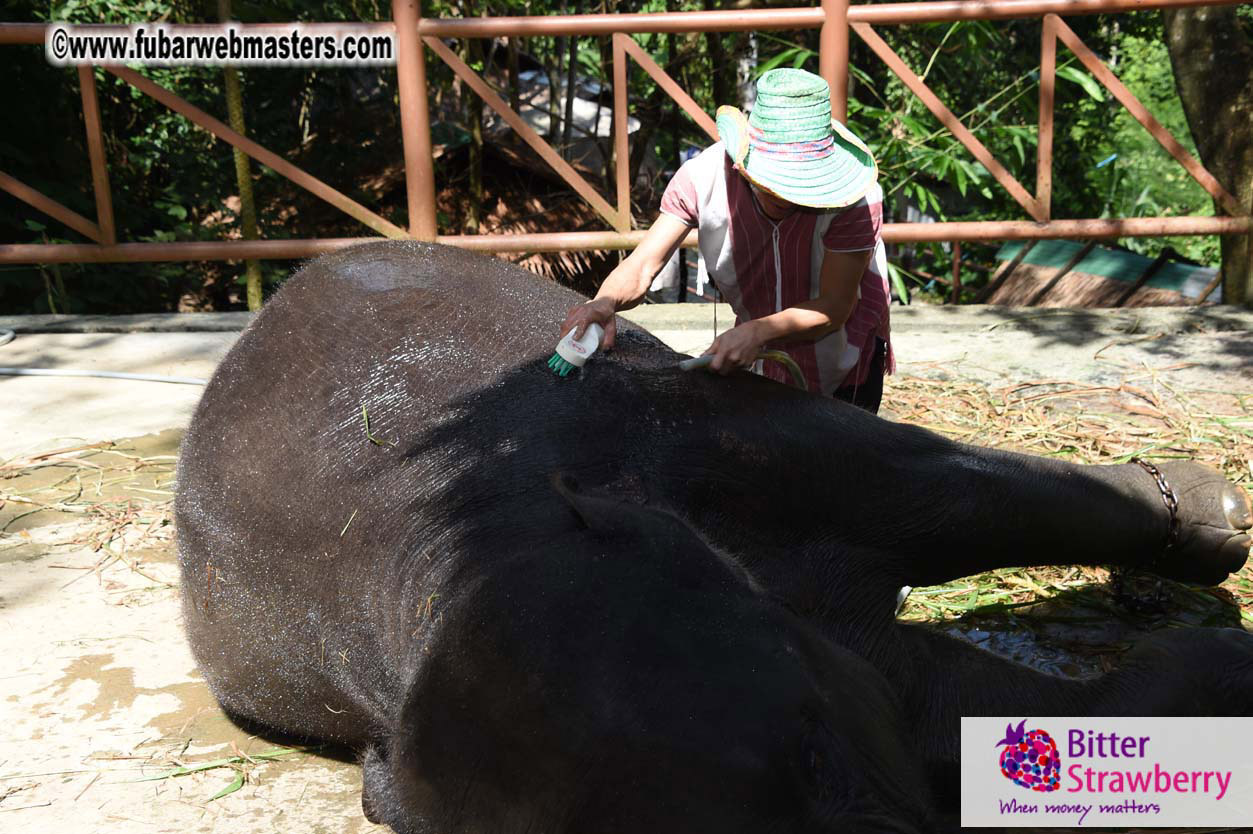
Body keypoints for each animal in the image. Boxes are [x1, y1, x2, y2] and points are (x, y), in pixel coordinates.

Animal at [175, 241, 1252, 834]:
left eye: (811, 753)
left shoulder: (709, 428)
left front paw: (1212, 523)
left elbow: (951, 491)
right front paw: (1209, 665)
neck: (470, 549)